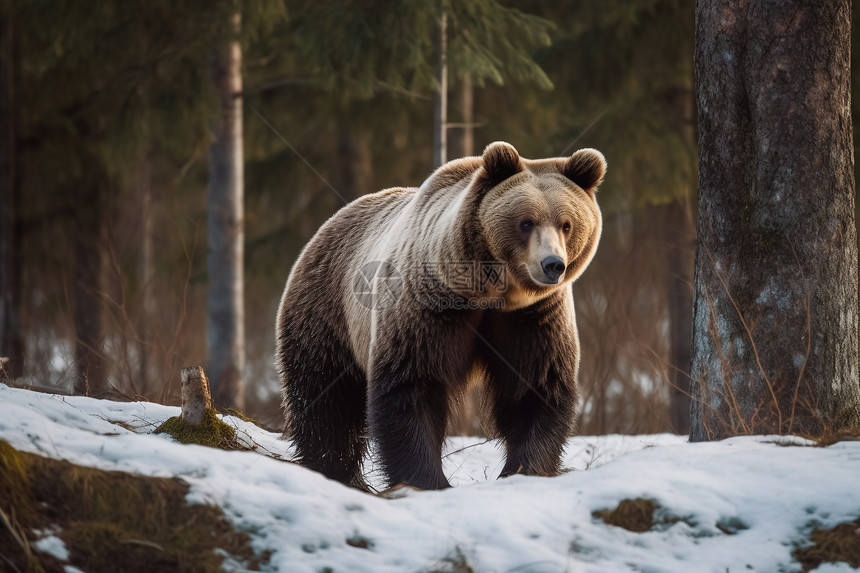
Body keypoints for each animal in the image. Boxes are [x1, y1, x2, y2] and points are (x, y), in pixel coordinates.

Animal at [276, 141, 604, 490]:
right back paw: (329, 466)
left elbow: (535, 387)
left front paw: (524, 468)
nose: (552, 264)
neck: (491, 293)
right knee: (324, 399)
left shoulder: (532, 317)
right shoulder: (429, 306)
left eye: (567, 224)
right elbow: (411, 387)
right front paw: (426, 479)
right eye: (526, 222)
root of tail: (329, 223)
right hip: (327, 312)